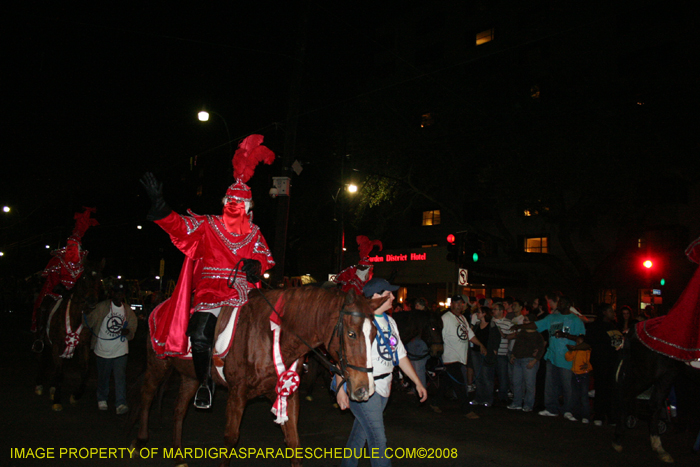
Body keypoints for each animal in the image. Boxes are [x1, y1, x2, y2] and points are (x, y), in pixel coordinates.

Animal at [34, 260, 103, 414]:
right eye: (84, 278)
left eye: (99, 279)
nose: (92, 301)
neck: (74, 316)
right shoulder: (57, 345)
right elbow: (60, 373)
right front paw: (57, 401)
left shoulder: (83, 345)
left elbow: (85, 371)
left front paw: (75, 395)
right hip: (43, 341)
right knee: (41, 359)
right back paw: (40, 386)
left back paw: (52, 388)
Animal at [131, 288, 382, 466]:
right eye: (351, 334)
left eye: (374, 334)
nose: (365, 389)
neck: (270, 336)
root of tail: (161, 304)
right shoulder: (237, 394)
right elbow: (230, 438)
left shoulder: (287, 394)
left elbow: (294, 442)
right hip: (158, 364)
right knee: (146, 395)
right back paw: (140, 439)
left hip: (191, 376)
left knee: (179, 410)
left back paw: (178, 455)